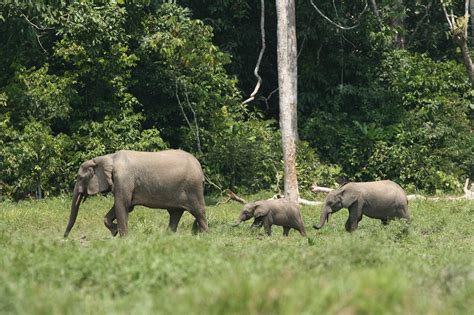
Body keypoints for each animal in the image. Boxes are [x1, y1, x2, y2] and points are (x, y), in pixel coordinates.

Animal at [63, 150, 207, 237]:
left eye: (79, 177)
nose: (65, 238)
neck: (108, 158)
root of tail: (199, 165)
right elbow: (123, 206)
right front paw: (115, 232)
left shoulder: (124, 179)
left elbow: (122, 205)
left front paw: (123, 239)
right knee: (175, 213)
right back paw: (168, 237)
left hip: (193, 188)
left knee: (199, 212)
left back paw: (204, 236)